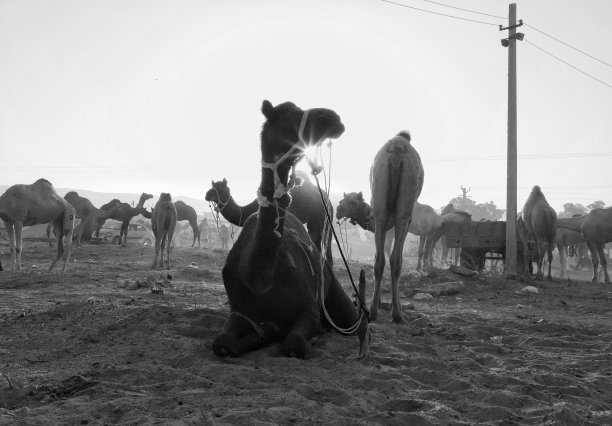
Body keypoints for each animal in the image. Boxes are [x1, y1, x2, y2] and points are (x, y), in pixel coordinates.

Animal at [366, 131, 424, 322]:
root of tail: (397, 151)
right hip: (404, 211)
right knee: (396, 260)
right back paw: (398, 314)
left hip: (379, 207)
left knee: (379, 260)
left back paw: (373, 311)